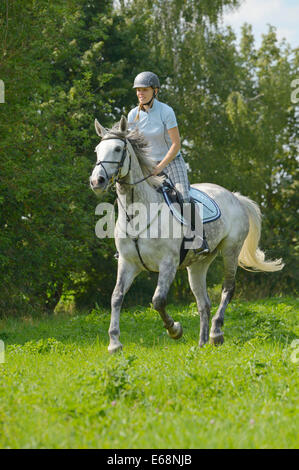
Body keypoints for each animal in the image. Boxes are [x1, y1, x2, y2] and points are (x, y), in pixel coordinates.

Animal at [90, 116, 284, 352]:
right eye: (97, 150)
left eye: (118, 149)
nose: (96, 181)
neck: (137, 215)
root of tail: (235, 196)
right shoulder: (127, 263)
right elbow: (116, 297)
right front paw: (114, 343)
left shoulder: (168, 263)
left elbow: (158, 300)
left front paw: (175, 330)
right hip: (198, 265)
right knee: (203, 303)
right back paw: (201, 343)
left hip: (231, 250)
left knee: (228, 289)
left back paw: (216, 333)